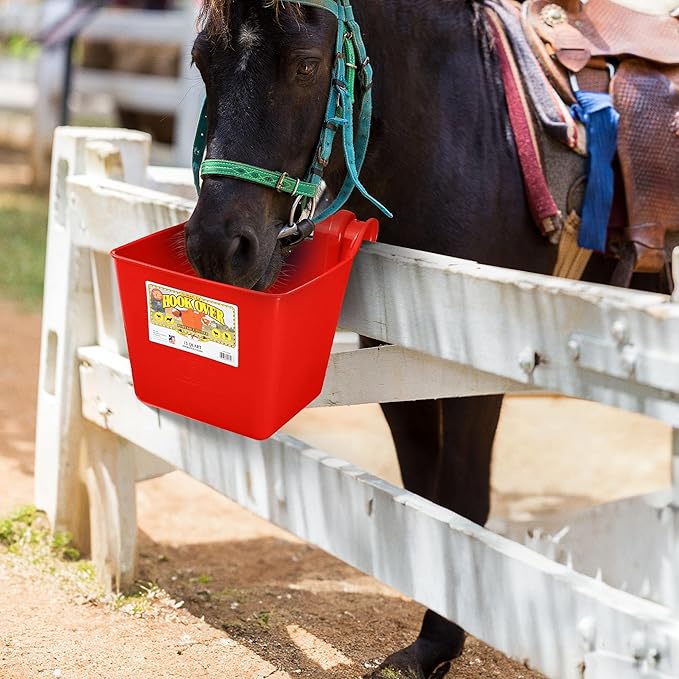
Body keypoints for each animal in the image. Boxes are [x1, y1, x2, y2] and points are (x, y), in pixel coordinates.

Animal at [183, 1, 608, 676]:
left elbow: (461, 502)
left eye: (307, 65)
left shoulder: (475, 370)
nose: (218, 249)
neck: (465, 129)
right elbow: (422, 492)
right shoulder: (392, 353)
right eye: (203, 62)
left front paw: (437, 643)